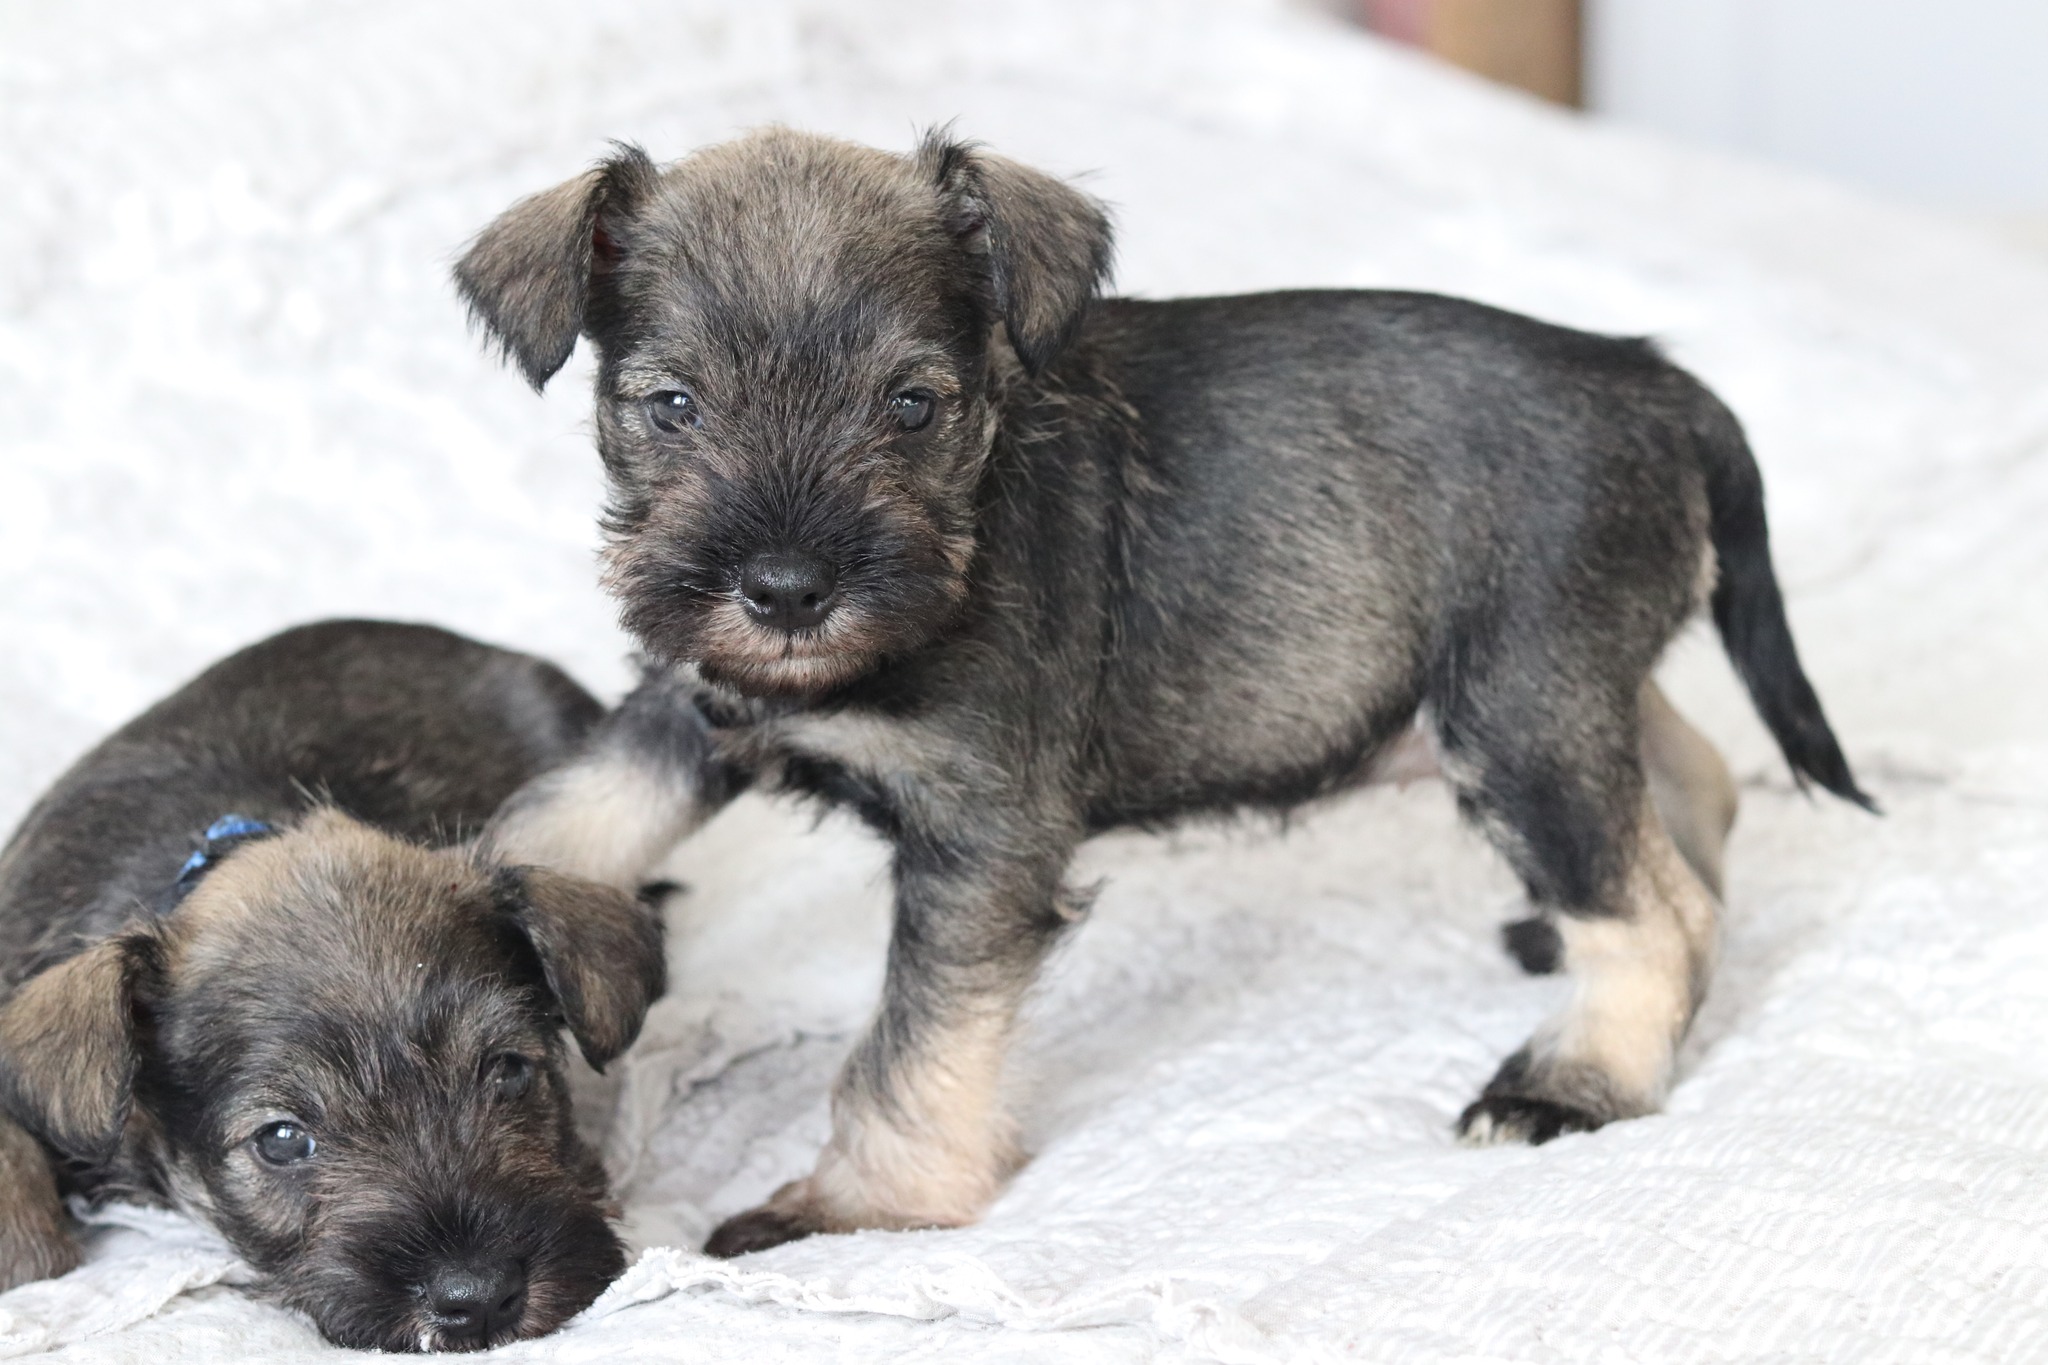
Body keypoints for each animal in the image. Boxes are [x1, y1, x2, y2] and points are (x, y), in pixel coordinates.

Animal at [452, 127, 1875, 1260]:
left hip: (1517, 718)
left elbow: (912, 1046)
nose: (787, 590)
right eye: (670, 405)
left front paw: (860, 1204)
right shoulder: (683, 718)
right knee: (1685, 784)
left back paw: (1572, 1080)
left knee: (1651, 911)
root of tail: (1657, 382)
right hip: (1547, 700)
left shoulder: (978, 838)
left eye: (909, 405)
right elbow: (552, 824)